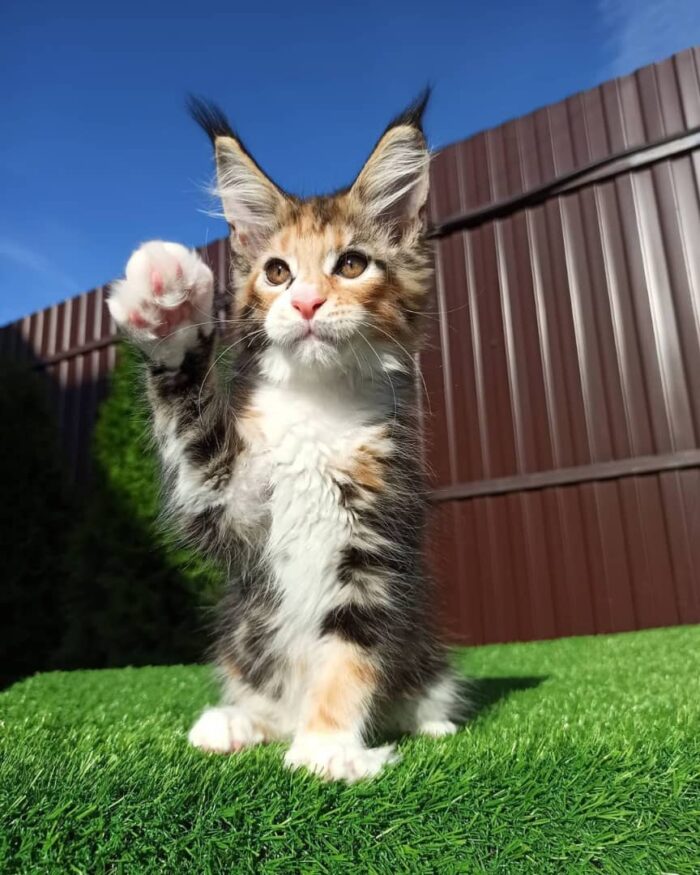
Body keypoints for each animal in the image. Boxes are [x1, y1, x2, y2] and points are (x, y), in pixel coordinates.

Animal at [108, 92, 460, 784]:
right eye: (276, 272)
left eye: (350, 264)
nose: (304, 304)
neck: (315, 409)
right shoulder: (223, 501)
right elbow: (189, 429)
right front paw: (169, 312)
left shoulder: (375, 544)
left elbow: (349, 655)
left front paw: (327, 749)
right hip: (246, 640)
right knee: (264, 699)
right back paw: (235, 723)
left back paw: (426, 722)